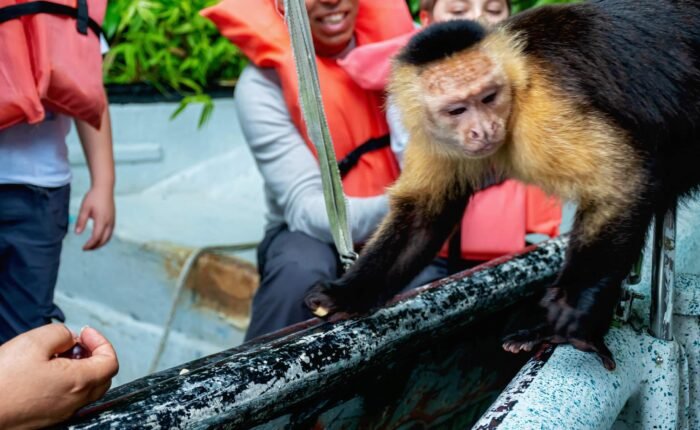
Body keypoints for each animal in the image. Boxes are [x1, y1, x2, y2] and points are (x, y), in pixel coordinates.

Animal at [304, 0, 700, 370]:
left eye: (488, 97)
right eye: (457, 110)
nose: (484, 130)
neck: (514, 87)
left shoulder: (542, 110)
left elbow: (619, 183)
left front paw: (573, 311)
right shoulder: (433, 133)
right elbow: (424, 216)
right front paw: (347, 293)